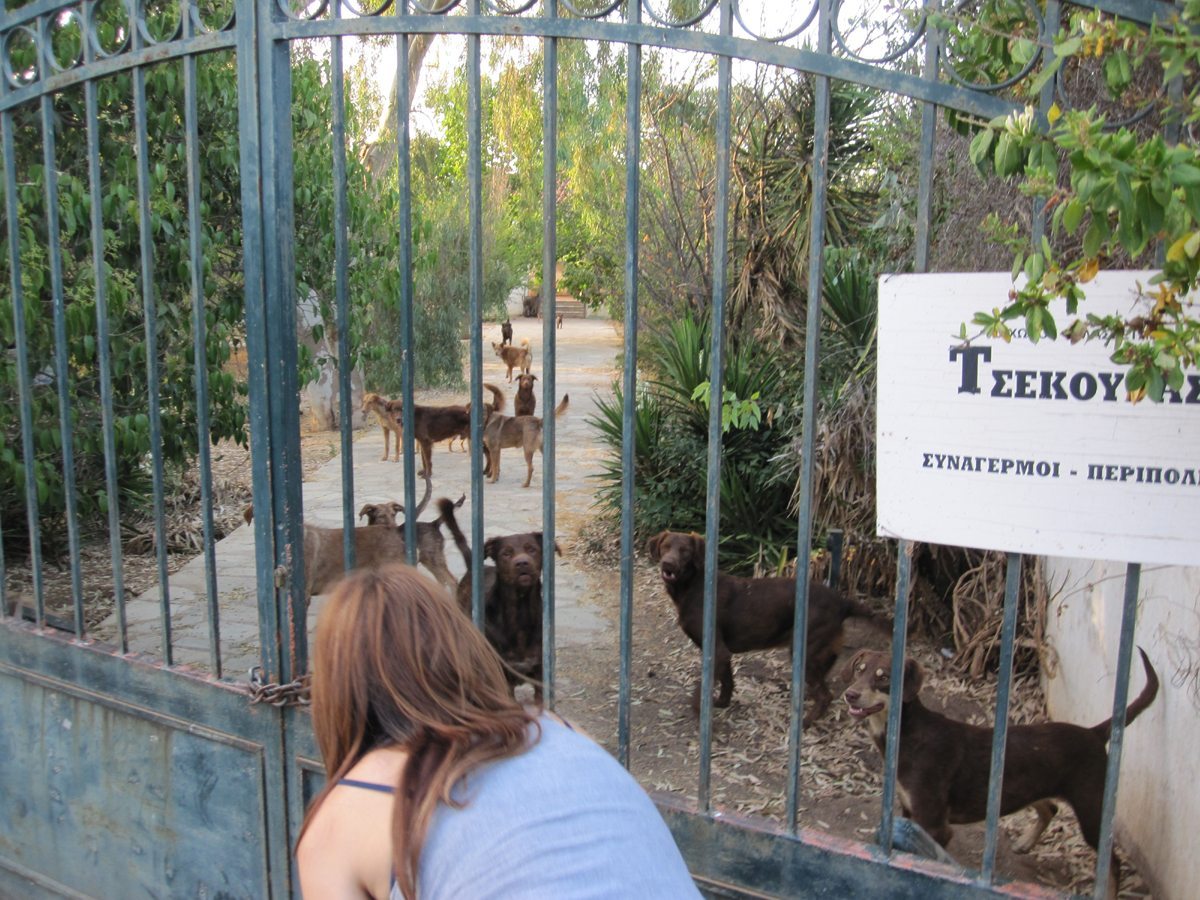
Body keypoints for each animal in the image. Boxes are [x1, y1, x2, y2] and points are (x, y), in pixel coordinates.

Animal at [439, 501, 559, 696]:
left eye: (532, 549)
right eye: (506, 553)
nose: (522, 563)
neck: (520, 610)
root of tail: (473, 567)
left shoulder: (540, 675)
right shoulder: (502, 677)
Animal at [652, 528, 878, 724]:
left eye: (685, 550)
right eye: (665, 546)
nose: (668, 564)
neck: (694, 586)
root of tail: (842, 601)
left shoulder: (717, 650)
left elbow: (703, 687)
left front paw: (701, 713)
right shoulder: (723, 653)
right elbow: (727, 681)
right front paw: (722, 703)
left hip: (806, 650)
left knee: (825, 695)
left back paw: (806, 721)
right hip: (822, 651)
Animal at [840, 648, 1156, 897]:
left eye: (883, 677)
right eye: (859, 670)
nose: (849, 694)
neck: (907, 732)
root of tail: (1094, 733)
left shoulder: (934, 824)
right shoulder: (908, 812)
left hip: (1091, 809)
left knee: (1113, 863)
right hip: (1025, 786)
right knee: (1051, 808)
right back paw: (1026, 842)